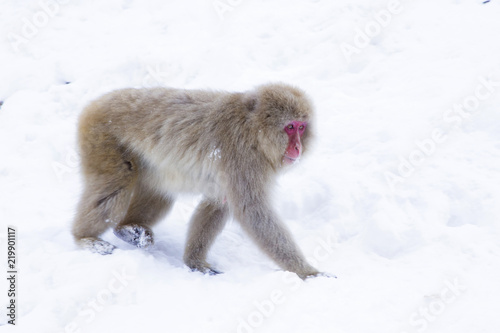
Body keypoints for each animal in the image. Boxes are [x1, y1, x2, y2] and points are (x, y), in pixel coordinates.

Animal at [72, 82, 322, 278]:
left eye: (301, 127)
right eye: (290, 127)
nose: (298, 147)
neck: (254, 132)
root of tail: (94, 104)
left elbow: (218, 203)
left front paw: (195, 262)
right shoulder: (242, 158)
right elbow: (252, 211)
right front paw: (307, 272)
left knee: (161, 193)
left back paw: (127, 228)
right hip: (103, 139)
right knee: (116, 184)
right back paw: (84, 237)